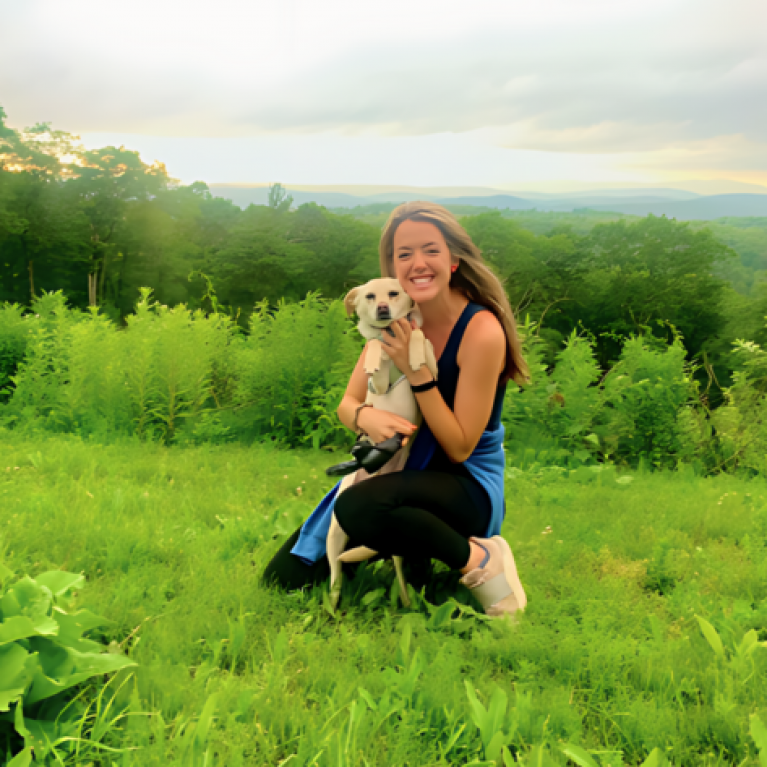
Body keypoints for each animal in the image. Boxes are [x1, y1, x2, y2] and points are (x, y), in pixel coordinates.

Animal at [328, 280, 440, 608]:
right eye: (369, 296)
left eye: (394, 293)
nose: (381, 309)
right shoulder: (375, 385)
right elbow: (375, 347)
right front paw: (375, 356)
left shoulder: (433, 370)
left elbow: (417, 334)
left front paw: (412, 354)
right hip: (334, 532)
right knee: (335, 572)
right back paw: (333, 604)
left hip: (397, 539)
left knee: (398, 567)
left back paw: (406, 603)